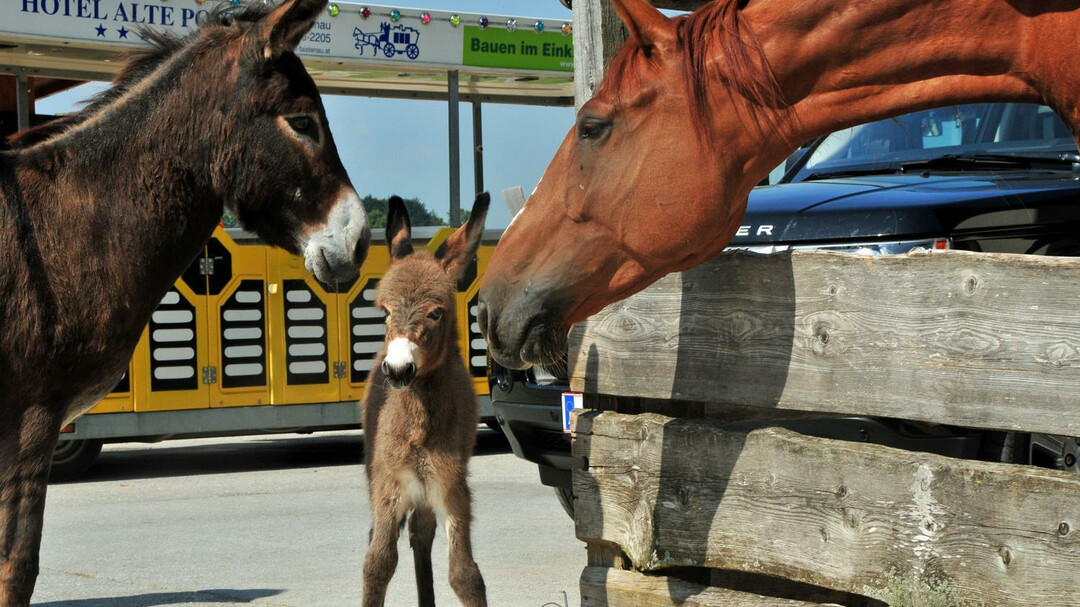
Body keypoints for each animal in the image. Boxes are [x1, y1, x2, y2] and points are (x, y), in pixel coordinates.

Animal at [361, 194, 490, 607]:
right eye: (384, 312)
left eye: (435, 312)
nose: (398, 369)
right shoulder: (389, 485)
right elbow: (378, 563)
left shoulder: (450, 486)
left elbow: (465, 575)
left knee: (421, 535)